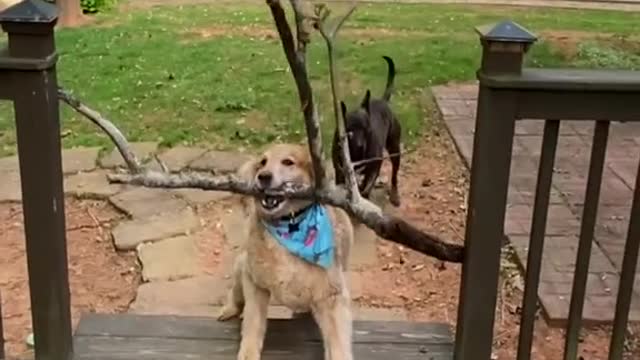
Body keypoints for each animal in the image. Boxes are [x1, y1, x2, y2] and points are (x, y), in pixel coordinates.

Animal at [218, 143, 352, 360]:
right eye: (262, 162)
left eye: (288, 162)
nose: (263, 176)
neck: (289, 225)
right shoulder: (254, 281)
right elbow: (253, 322)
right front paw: (248, 352)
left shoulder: (331, 296)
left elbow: (338, 341)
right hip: (242, 265)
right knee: (236, 293)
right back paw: (229, 309)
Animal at [336, 56, 400, 208]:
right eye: (350, 131)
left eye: (368, 130)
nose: (360, 145)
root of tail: (383, 101)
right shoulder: (339, 171)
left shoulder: (374, 167)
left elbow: (366, 188)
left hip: (395, 149)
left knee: (394, 174)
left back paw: (394, 194)